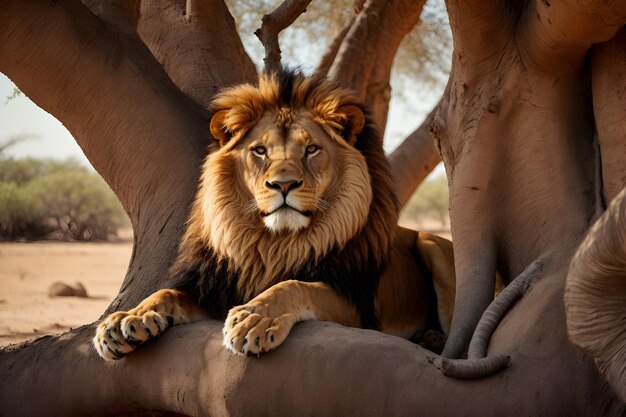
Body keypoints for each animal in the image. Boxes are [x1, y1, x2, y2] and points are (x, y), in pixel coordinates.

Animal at [92, 68, 454, 358]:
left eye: (311, 149)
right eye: (260, 151)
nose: (283, 184)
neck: (272, 244)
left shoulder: (355, 303)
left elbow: (294, 284)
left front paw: (254, 319)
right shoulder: (212, 287)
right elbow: (163, 292)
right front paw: (127, 319)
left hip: (431, 244)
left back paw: (433, 339)